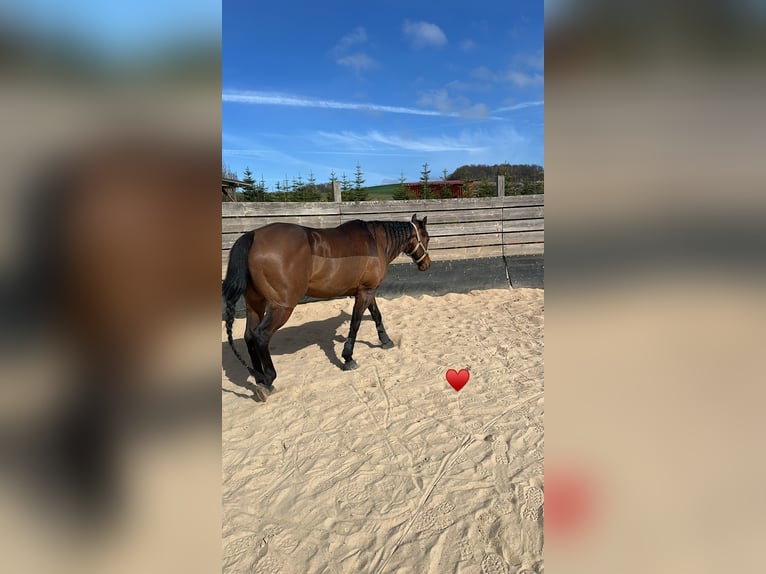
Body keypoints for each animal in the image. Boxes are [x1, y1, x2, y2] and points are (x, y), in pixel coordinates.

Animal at [222, 214, 431, 400]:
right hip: (282, 307)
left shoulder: (367, 290)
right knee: (261, 335)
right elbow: (355, 324)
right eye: (427, 237)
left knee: (249, 335)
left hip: (255, 304)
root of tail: (253, 236)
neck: (375, 241)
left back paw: (259, 379)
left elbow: (376, 315)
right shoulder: (365, 292)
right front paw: (348, 358)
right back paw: (268, 380)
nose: (427, 264)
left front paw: (386, 340)